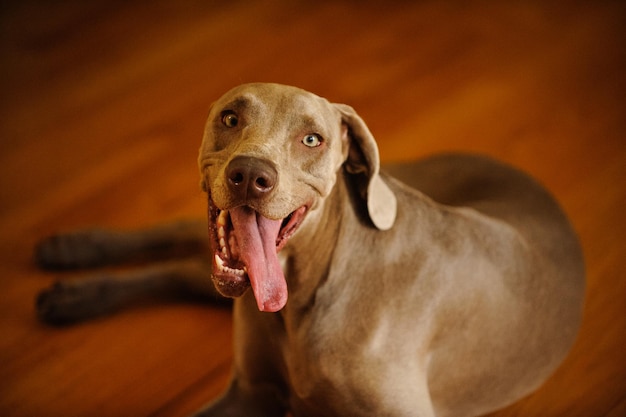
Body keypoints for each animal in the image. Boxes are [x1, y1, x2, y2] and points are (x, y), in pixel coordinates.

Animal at [37, 83, 584, 416]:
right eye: (230, 117)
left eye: (312, 139)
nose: (250, 175)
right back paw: (71, 260)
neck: (307, 288)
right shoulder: (251, 393)